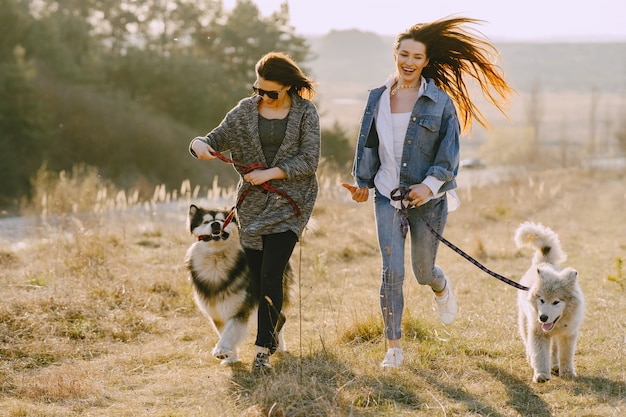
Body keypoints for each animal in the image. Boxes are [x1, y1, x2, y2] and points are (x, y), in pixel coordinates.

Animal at [516, 223, 584, 382]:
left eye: (556, 302)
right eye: (541, 300)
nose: (543, 318)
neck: (557, 323)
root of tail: (544, 262)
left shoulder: (568, 334)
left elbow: (565, 355)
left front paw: (567, 373)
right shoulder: (538, 332)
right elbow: (540, 354)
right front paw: (541, 374)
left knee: (553, 350)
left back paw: (554, 365)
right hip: (524, 321)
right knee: (528, 344)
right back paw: (533, 360)